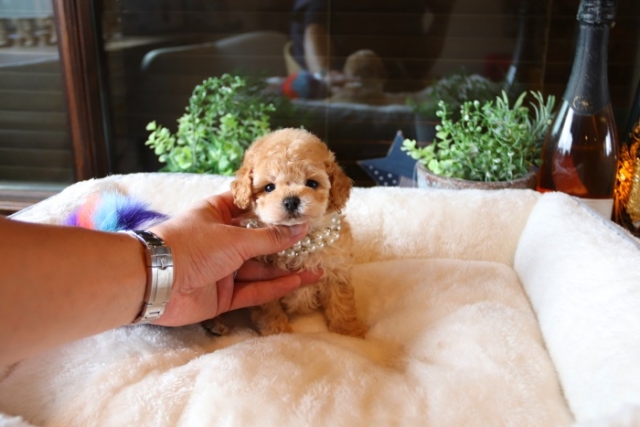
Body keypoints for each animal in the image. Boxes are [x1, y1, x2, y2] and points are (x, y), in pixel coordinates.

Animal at [205, 128, 367, 338]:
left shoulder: (336, 269)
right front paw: (278, 333)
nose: (291, 201)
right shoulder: (265, 287)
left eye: (312, 183)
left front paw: (348, 334)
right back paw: (216, 324)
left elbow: (341, 303)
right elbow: (269, 310)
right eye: (269, 187)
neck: (302, 242)